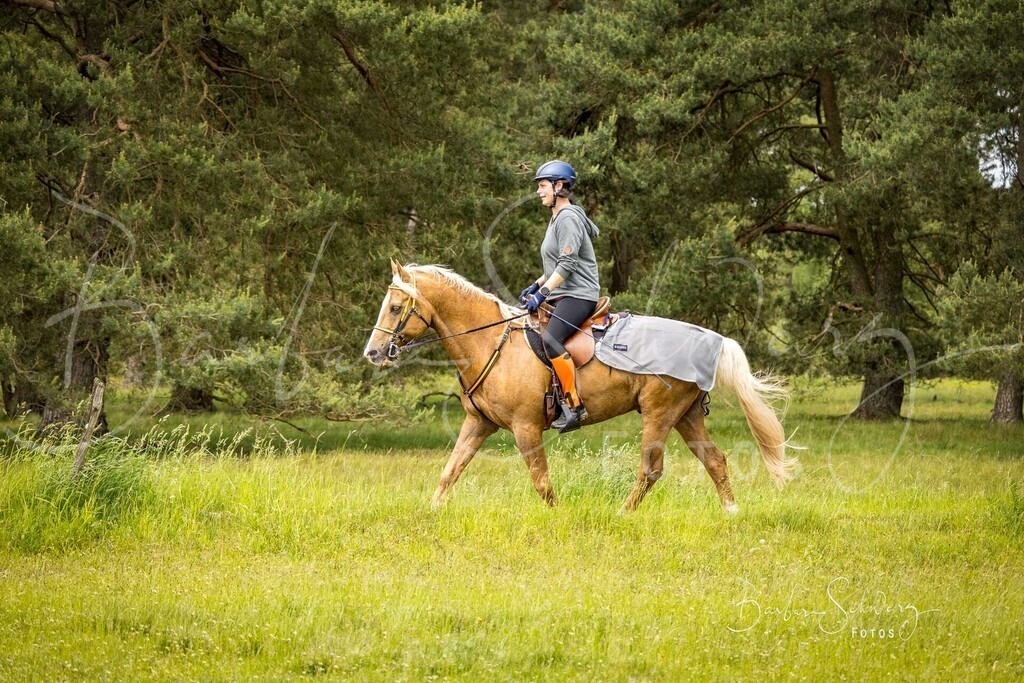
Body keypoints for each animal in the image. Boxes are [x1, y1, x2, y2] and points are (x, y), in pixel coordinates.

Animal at [363, 261, 797, 513]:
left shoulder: (525, 429)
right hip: (686, 415)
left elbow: (541, 483)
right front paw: (432, 513)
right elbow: (450, 471)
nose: (373, 352)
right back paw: (731, 514)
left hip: (658, 414)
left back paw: (623, 514)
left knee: (651, 470)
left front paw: (558, 519)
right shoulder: (478, 423)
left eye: (397, 308)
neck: (490, 342)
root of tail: (712, 339)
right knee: (715, 461)